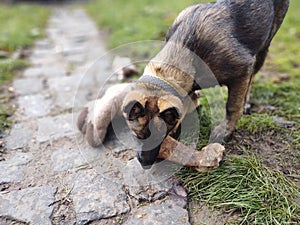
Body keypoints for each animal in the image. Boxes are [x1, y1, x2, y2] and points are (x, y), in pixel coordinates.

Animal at [78, 0, 290, 169]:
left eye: (162, 136)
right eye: (137, 135)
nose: (145, 164)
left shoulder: (242, 69)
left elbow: (232, 106)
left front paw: (225, 130)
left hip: (263, 48)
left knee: (252, 78)